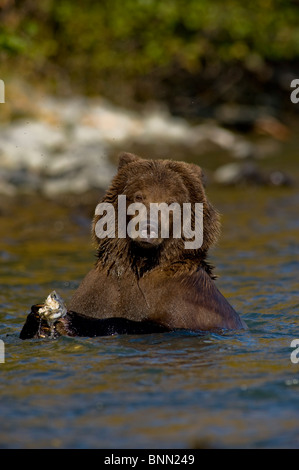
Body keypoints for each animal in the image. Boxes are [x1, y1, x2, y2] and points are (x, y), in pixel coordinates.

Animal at [19, 152, 247, 340]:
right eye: (139, 196)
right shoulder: (99, 292)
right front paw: (36, 318)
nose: (148, 228)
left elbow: (147, 324)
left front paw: (72, 322)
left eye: (172, 202)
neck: (140, 262)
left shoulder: (188, 305)